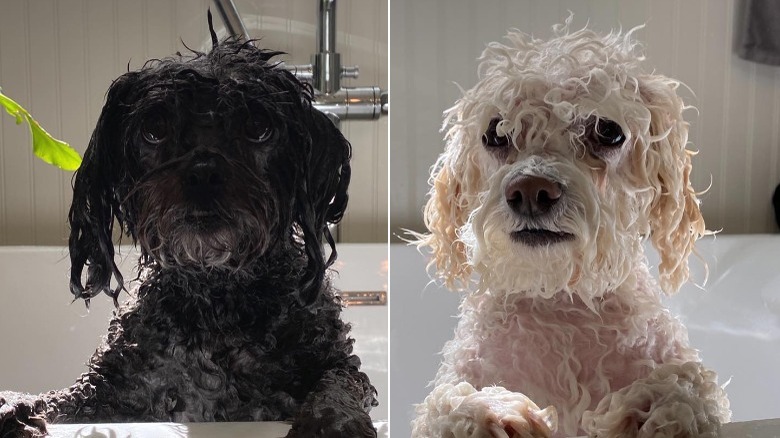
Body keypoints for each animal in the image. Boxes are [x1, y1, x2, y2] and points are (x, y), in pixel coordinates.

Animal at [0, 24, 378, 438]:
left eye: (258, 127)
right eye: (154, 129)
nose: (202, 174)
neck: (217, 299)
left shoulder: (334, 362)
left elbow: (337, 383)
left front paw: (333, 423)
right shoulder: (113, 391)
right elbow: (57, 399)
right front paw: (14, 406)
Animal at [414, 18, 732, 438]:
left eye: (607, 131)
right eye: (496, 133)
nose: (530, 191)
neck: (562, 306)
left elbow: (689, 385)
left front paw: (658, 409)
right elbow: (444, 408)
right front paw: (488, 412)